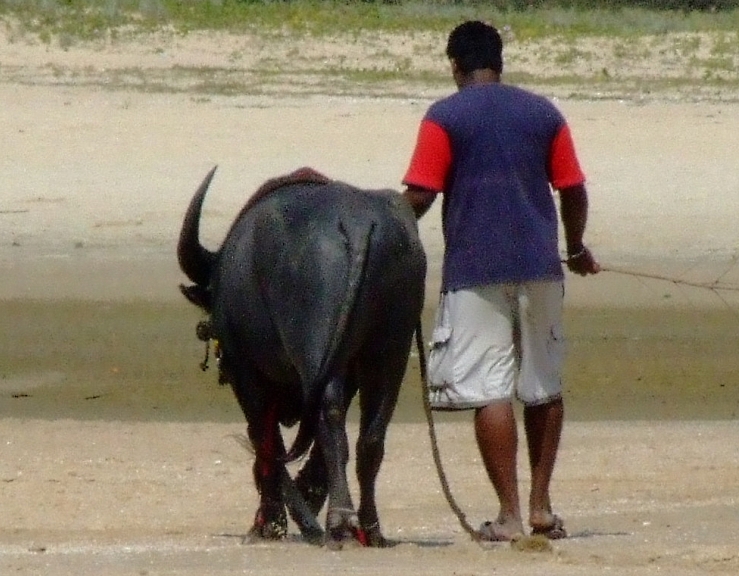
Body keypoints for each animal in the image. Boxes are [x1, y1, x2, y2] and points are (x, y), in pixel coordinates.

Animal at [176, 166, 424, 548]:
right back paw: (369, 528)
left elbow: (265, 441)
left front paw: (271, 522)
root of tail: (355, 223)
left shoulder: (246, 374)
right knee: (370, 436)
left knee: (327, 419)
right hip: (391, 348)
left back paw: (338, 521)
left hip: (313, 349)